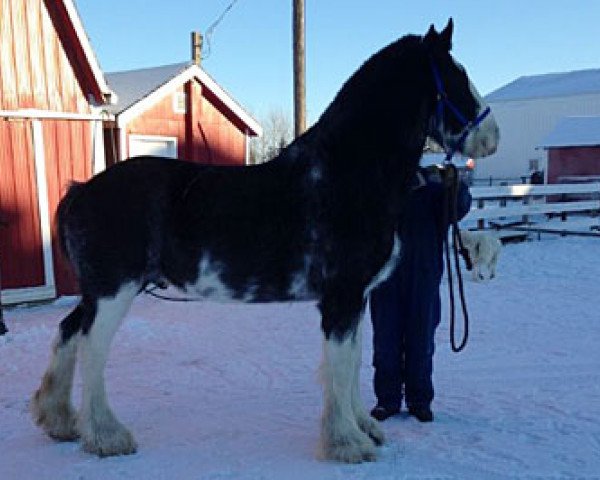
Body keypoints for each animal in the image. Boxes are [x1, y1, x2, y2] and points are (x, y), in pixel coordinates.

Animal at [32, 20, 500, 464]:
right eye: (457, 77)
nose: (491, 137)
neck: (346, 174)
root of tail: (80, 190)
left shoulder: (356, 299)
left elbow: (352, 361)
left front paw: (364, 428)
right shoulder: (342, 298)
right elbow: (339, 366)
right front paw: (346, 443)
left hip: (99, 292)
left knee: (69, 333)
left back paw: (60, 421)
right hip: (114, 291)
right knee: (92, 348)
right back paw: (106, 436)